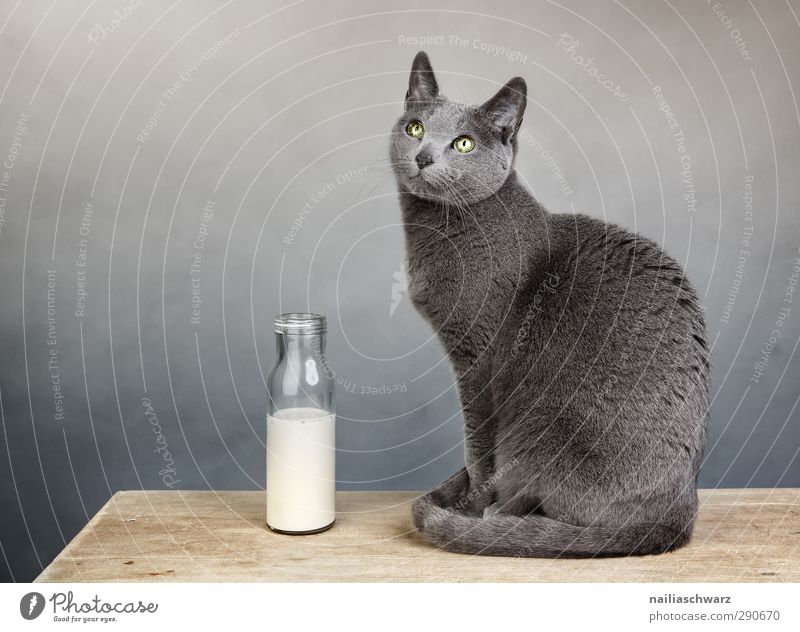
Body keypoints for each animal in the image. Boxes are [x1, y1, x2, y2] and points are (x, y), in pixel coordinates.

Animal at [390, 54, 708, 556]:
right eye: (415, 128)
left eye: (463, 143)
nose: (423, 156)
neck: (438, 227)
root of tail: (678, 515)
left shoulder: (477, 356)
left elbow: (477, 442)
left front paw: (471, 507)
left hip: (539, 426)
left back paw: (496, 515)